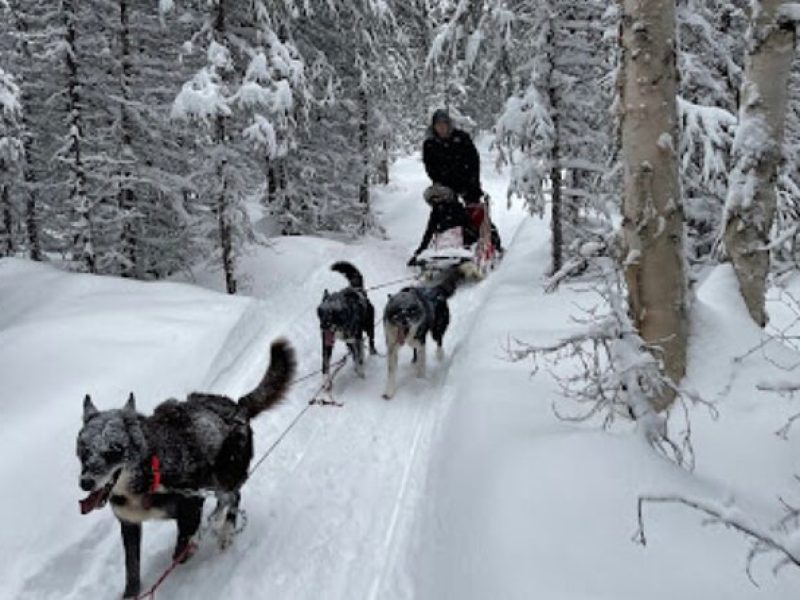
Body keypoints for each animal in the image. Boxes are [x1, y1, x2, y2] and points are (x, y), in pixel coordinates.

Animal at [77, 340, 296, 596]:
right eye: (84, 450)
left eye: (114, 450)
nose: (85, 483)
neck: (150, 471)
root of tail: (237, 406)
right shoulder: (130, 524)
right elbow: (132, 569)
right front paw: (132, 593)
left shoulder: (191, 503)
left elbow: (182, 547)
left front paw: (191, 545)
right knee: (223, 500)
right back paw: (215, 518)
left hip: (224, 474)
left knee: (233, 497)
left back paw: (226, 532)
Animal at [382, 268, 462, 398]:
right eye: (398, 310)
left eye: (411, 310)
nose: (405, 322)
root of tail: (435, 289)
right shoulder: (392, 347)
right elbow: (391, 370)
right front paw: (389, 391)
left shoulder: (421, 342)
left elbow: (422, 362)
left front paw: (420, 379)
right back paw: (414, 360)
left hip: (436, 330)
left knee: (439, 341)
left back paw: (440, 355)